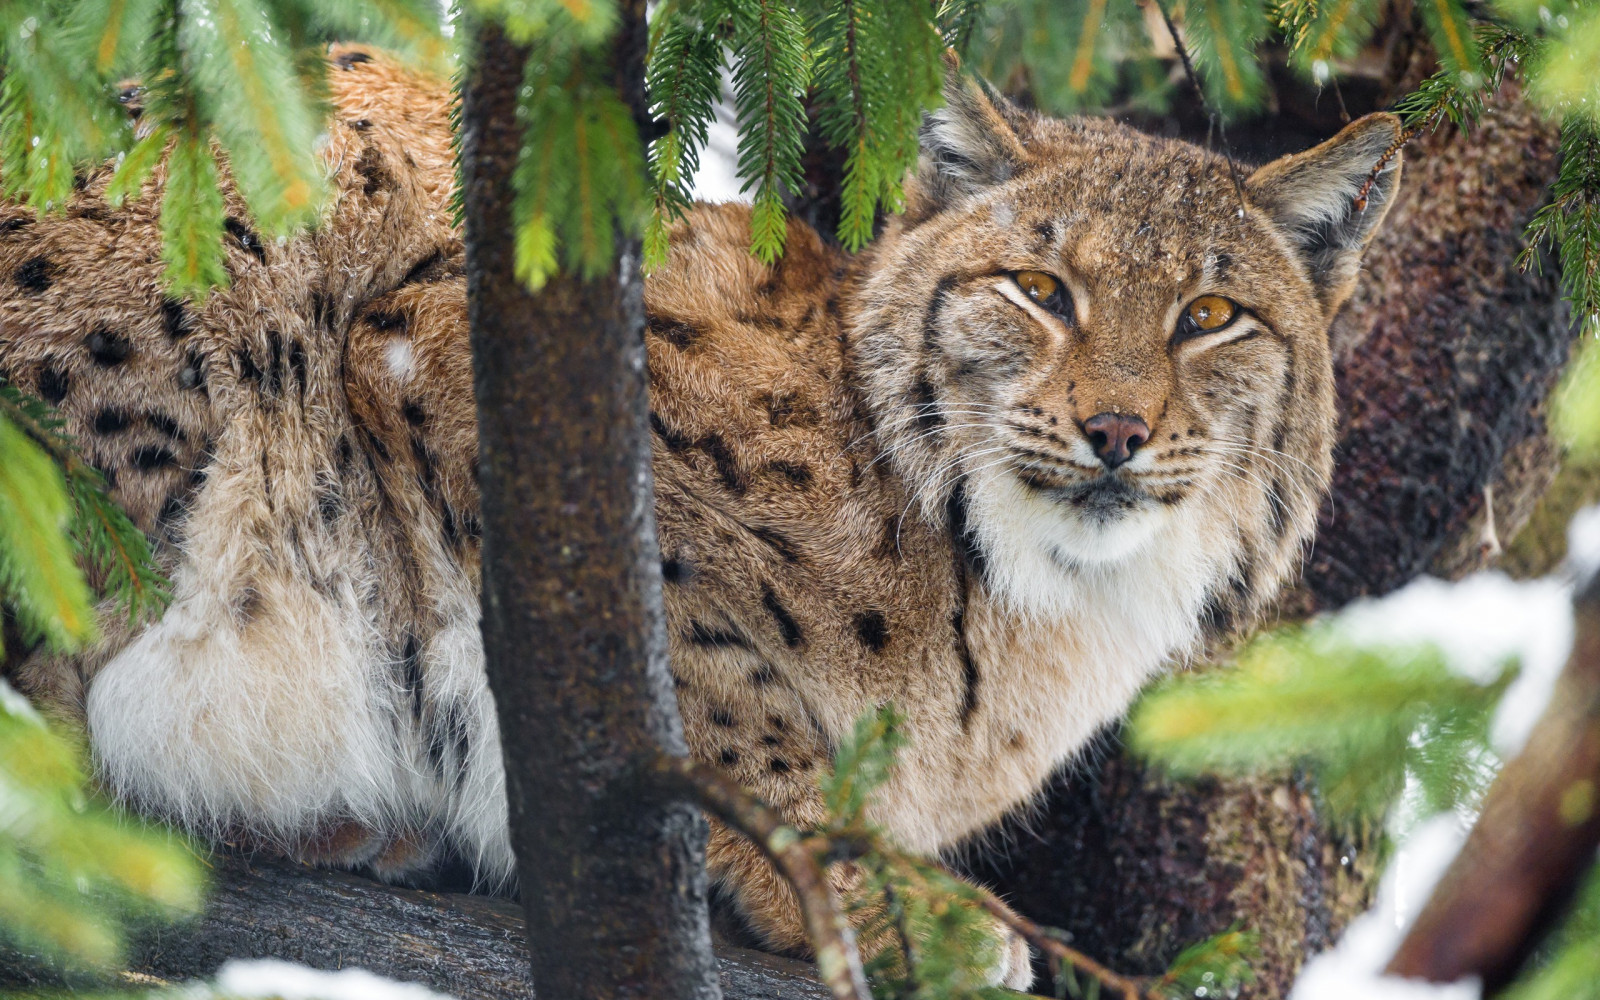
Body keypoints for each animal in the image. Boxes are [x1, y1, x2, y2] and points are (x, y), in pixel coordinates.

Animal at [0, 45, 1402, 989]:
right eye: (1040, 290)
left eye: (1209, 317)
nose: (1114, 431)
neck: (1036, 580)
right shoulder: (446, 346)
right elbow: (710, 682)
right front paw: (866, 888)